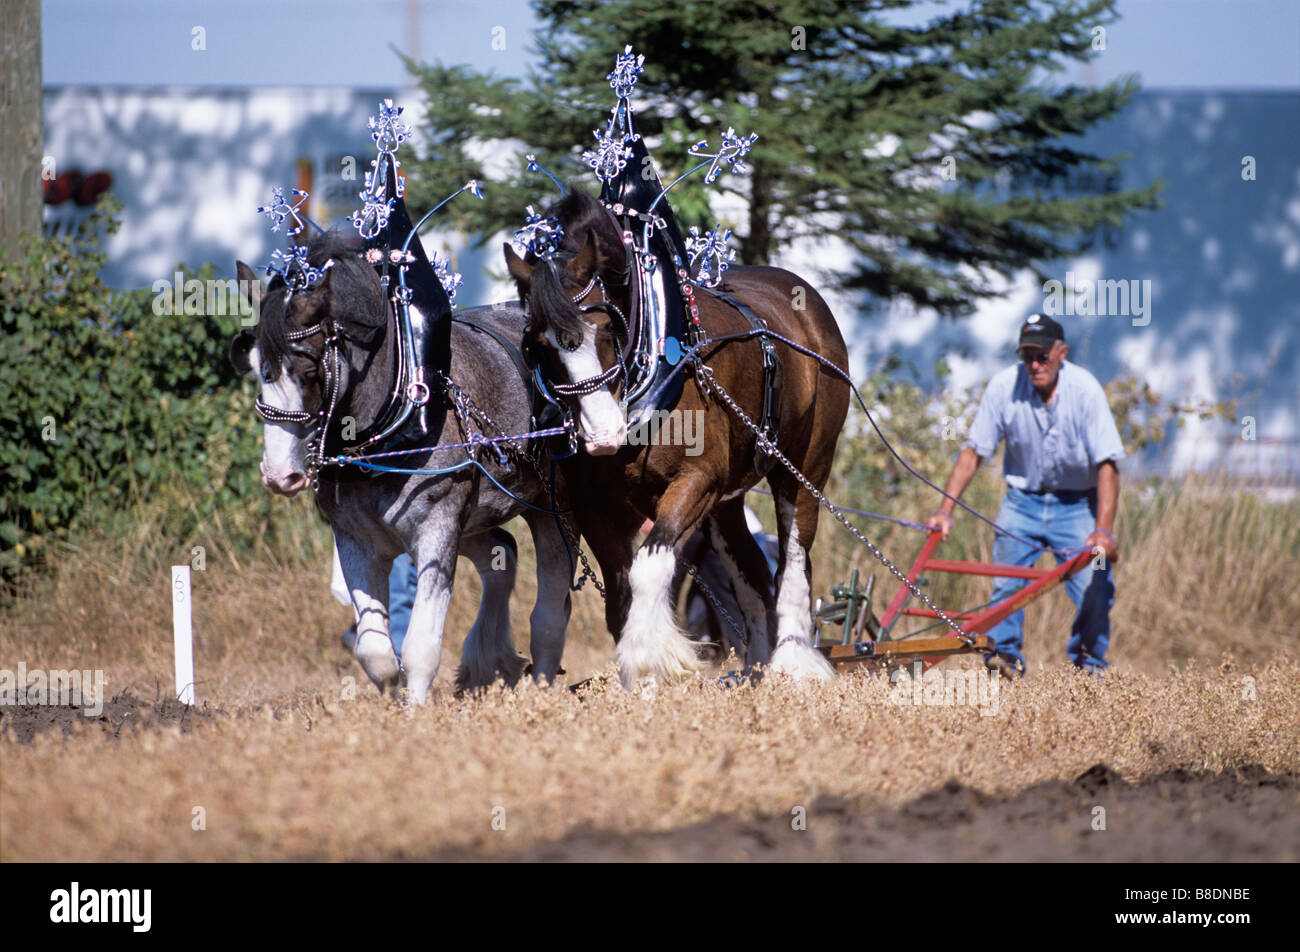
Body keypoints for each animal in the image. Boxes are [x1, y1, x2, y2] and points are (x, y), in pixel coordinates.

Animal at [230, 230, 574, 703]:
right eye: (255, 369)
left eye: (308, 370)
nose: (280, 475)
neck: (398, 422)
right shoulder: (356, 540)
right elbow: (374, 650)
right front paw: (392, 695)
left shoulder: (437, 529)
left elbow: (421, 645)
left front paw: (415, 709)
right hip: (474, 519)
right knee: (502, 554)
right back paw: (488, 660)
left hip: (548, 508)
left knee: (550, 604)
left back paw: (540, 682)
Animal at [503, 188, 850, 687]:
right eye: (536, 344)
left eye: (606, 327)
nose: (602, 433)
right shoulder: (597, 510)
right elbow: (621, 596)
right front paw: (640, 681)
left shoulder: (696, 481)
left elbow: (649, 568)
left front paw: (654, 662)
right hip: (726, 503)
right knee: (752, 572)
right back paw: (757, 667)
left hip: (805, 465)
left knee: (794, 558)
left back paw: (793, 662)